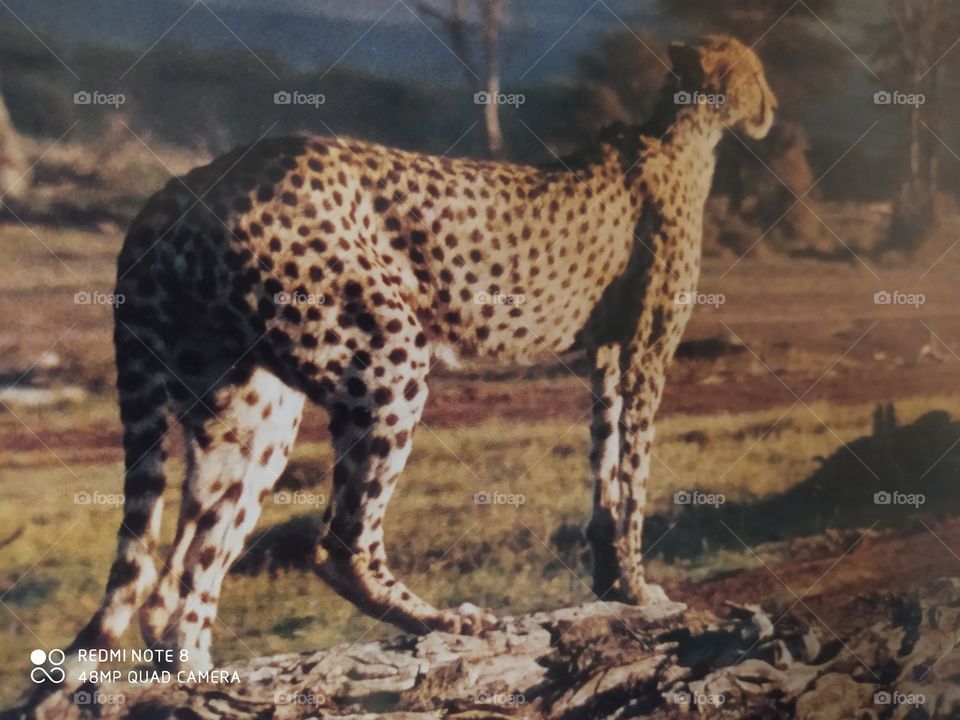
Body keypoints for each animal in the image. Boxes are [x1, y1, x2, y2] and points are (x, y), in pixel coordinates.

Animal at [46, 34, 774, 695]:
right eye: (758, 72)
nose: (772, 105)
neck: (684, 130)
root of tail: (178, 186)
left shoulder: (605, 351)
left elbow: (607, 462)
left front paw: (610, 579)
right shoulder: (647, 349)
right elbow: (636, 469)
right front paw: (638, 586)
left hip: (247, 412)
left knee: (176, 574)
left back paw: (200, 672)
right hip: (384, 351)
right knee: (336, 542)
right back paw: (442, 622)